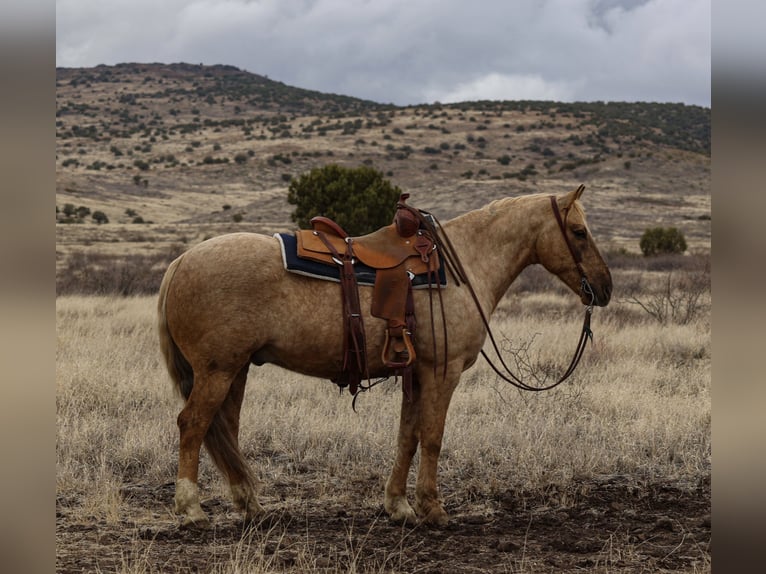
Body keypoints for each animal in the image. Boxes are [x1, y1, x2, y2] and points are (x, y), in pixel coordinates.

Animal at [159, 187, 616, 528]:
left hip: (235, 370)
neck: (465, 265)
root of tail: (181, 261)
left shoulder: (416, 372)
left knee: (225, 430)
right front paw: (433, 508)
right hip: (217, 371)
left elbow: (407, 438)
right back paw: (191, 510)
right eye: (578, 232)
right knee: (193, 425)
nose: (605, 288)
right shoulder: (443, 372)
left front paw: (398, 506)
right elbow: (432, 437)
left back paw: (250, 506)